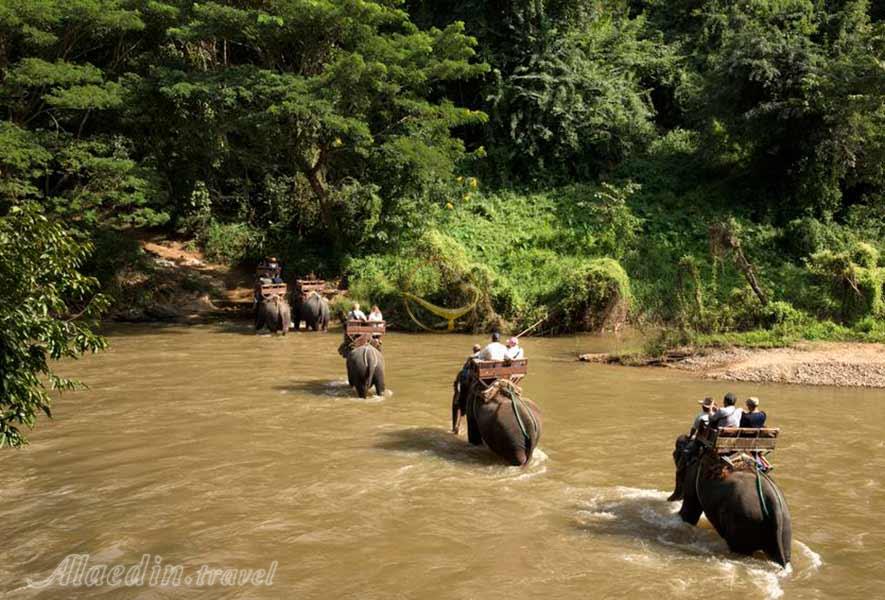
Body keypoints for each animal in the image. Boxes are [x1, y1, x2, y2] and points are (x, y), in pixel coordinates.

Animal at [672, 436, 792, 568]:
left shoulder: (693, 475)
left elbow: (690, 513)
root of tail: (775, 506)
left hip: (744, 519)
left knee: (740, 549)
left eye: (674, 454)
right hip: (784, 529)